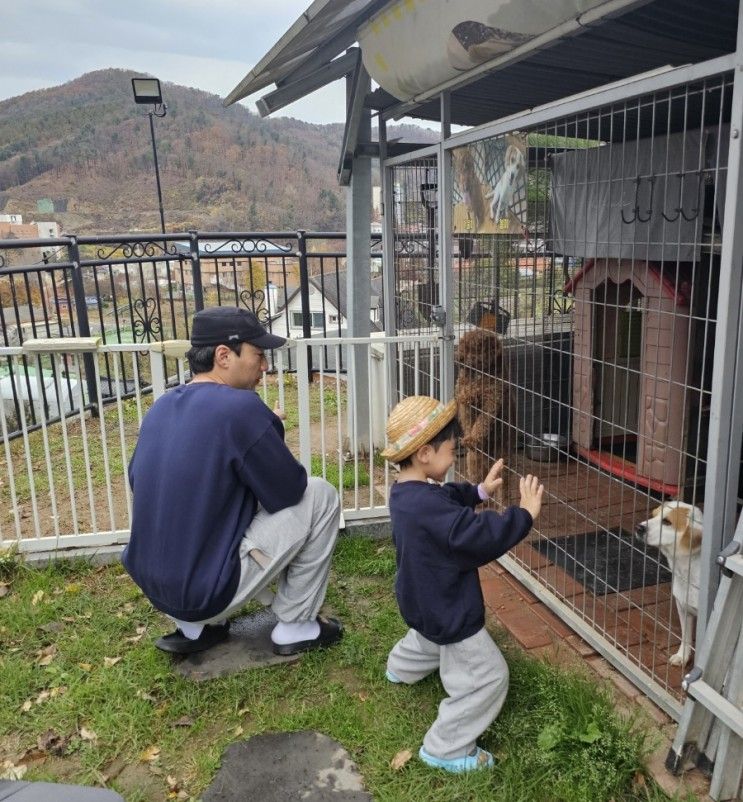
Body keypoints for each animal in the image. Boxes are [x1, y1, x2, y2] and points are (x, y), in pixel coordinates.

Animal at [456, 324, 516, 500]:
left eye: (474, 348)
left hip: (503, 464)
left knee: (503, 492)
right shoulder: (465, 402)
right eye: (463, 345)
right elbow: (467, 404)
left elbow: (482, 422)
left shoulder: (492, 401)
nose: (459, 359)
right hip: (473, 462)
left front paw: (472, 438)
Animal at [636, 504, 708, 664]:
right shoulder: (683, 607)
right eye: (653, 515)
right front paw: (682, 657)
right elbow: (686, 637)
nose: (639, 527)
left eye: (667, 522)